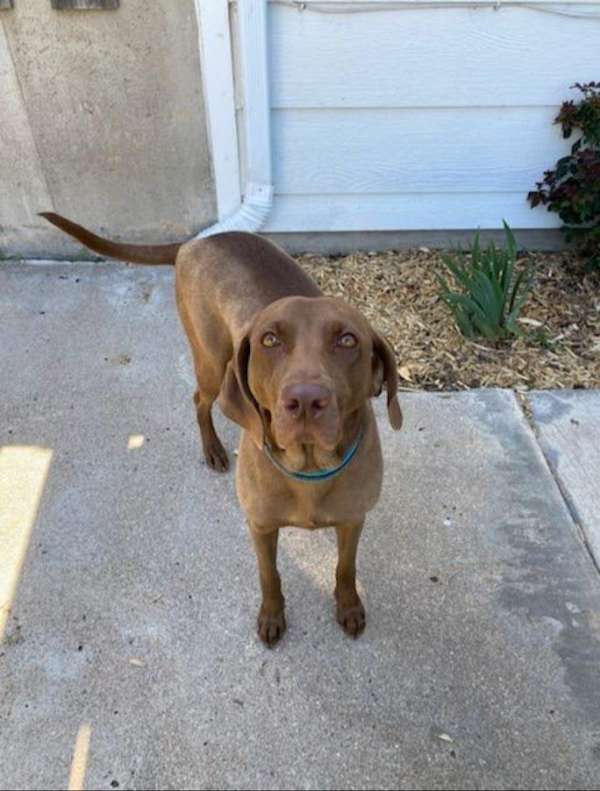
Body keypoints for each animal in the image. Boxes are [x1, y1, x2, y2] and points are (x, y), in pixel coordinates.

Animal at [39, 213, 400, 648]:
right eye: (269, 340)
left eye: (347, 340)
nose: (305, 400)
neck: (310, 469)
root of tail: (198, 242)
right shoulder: (260, 526)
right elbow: (269, 574)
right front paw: (272, 615)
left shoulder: (353, 520)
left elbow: (345, 568)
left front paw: (348, 607)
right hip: (211, 362)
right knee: (199, 400)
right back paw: (212, 449)